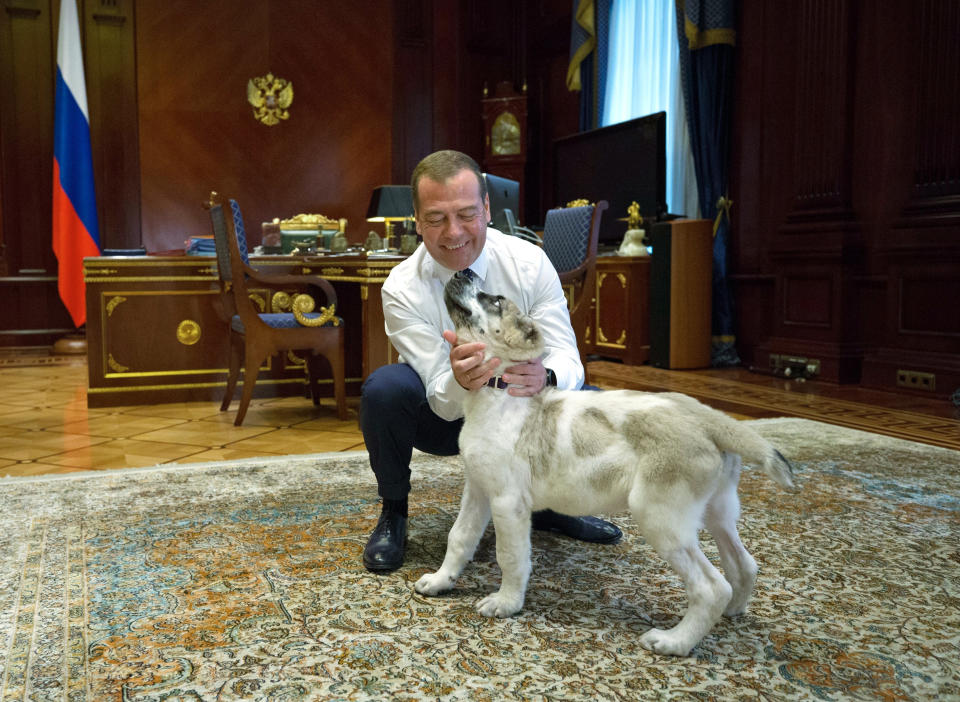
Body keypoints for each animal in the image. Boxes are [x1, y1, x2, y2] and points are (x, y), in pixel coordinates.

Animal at [416, 270, 800, 660]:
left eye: (494, 300)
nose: (462, 272)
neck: (497, 392)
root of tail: (711, 419)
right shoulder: (478, 490)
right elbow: (460, 538)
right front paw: (441, 581)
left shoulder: (508, 503)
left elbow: (510, 556)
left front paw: (506, 603)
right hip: (716, 511)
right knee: (744, 565)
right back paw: (732, 612)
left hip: (661, 518)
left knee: (711, 587)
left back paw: (674, 641)